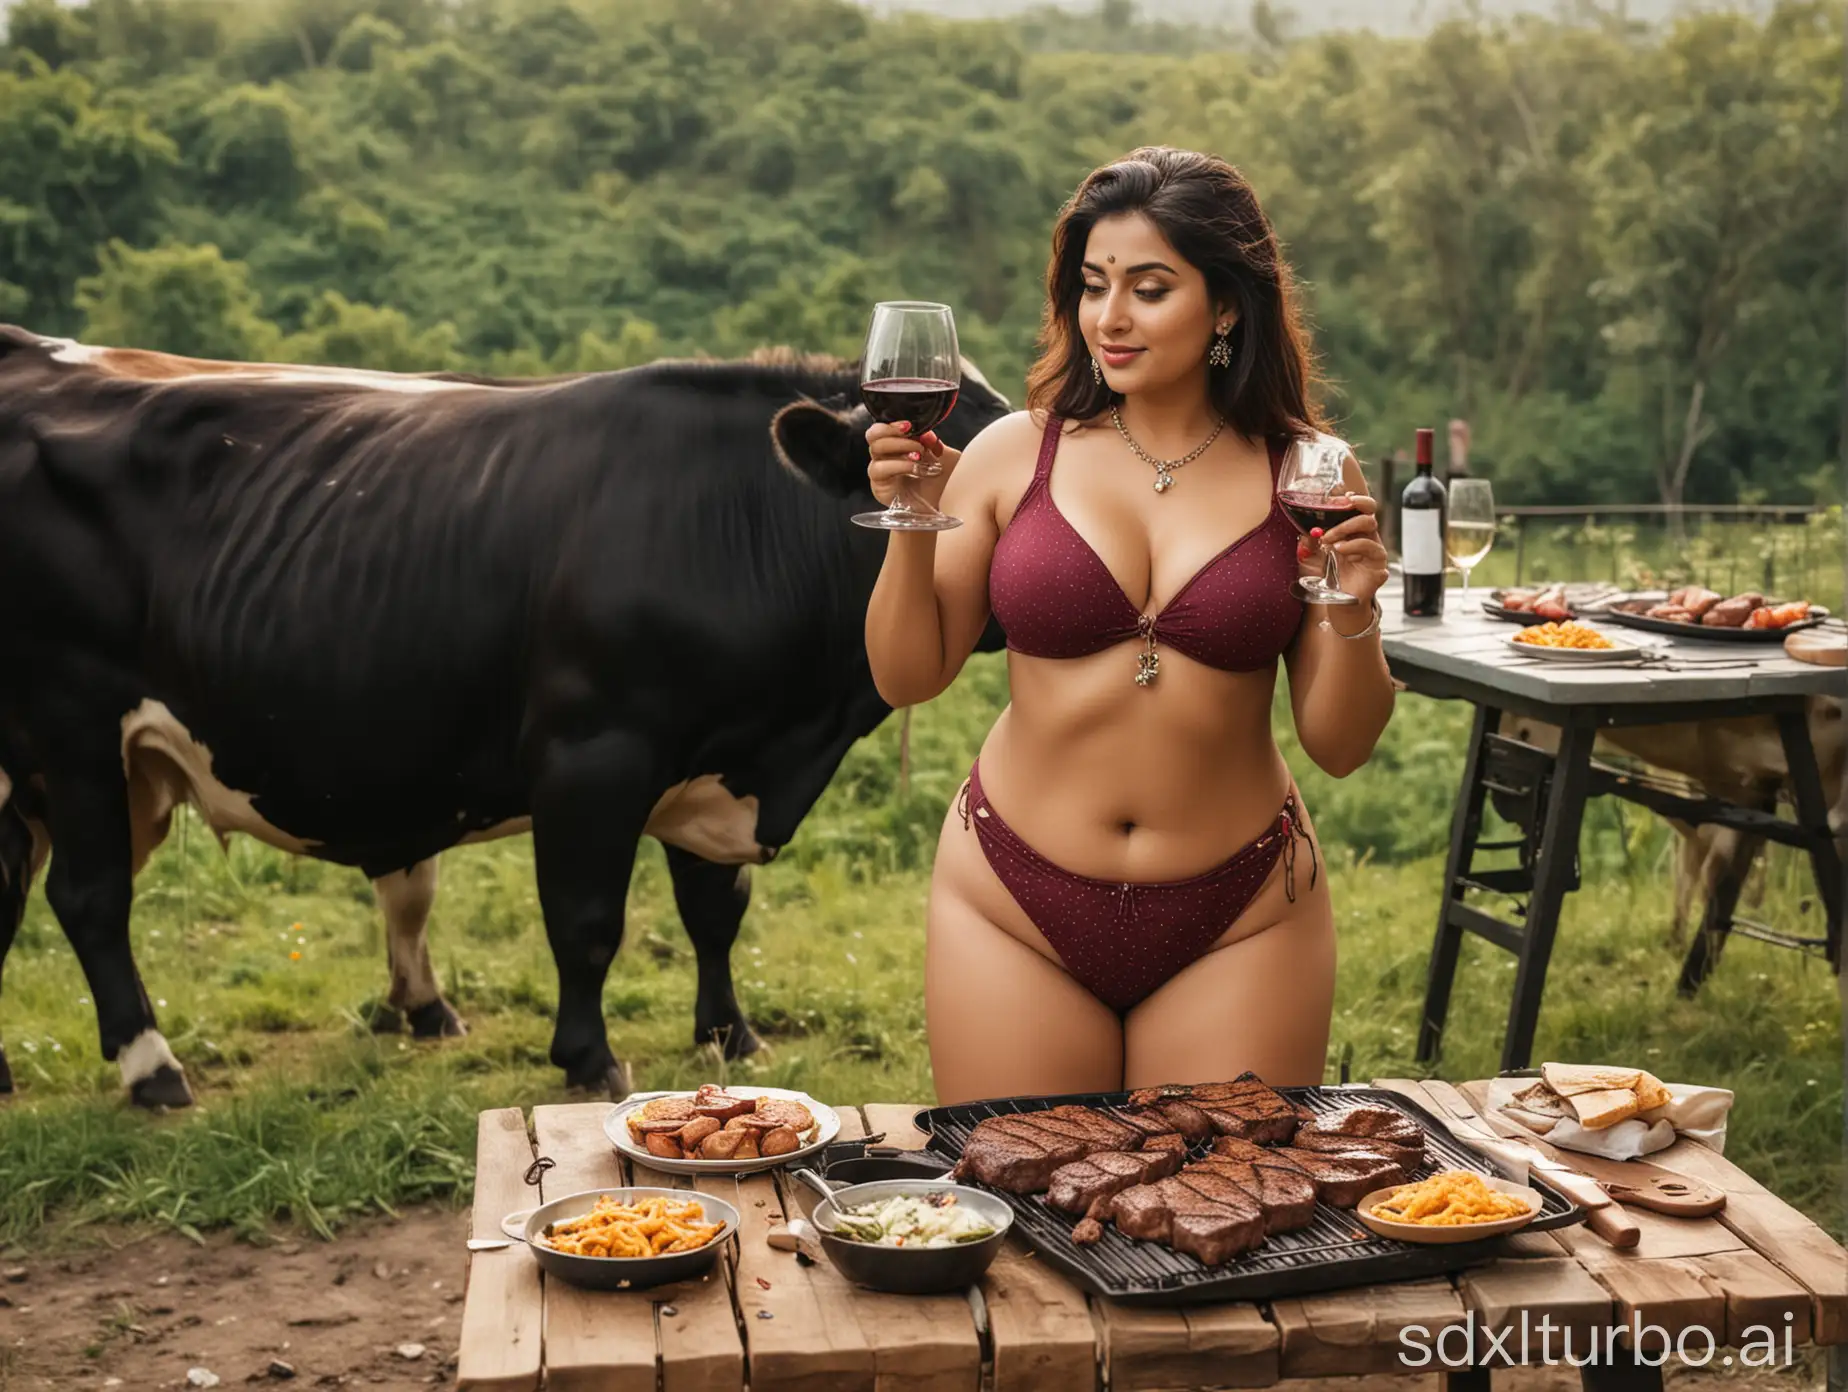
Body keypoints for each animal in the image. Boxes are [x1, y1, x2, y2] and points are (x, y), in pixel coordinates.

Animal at [0, 329, 1012, 1109]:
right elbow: (587, 920)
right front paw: (590, 1058)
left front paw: (731, 1035)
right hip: (76, 730)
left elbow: (714, 913)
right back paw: (152, 1069)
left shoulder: (716, 758)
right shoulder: (593, 752)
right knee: (89, 900)